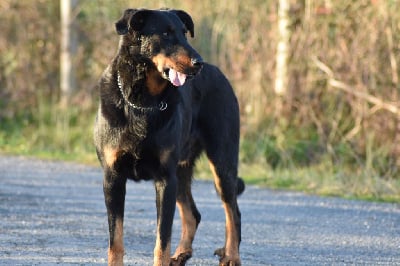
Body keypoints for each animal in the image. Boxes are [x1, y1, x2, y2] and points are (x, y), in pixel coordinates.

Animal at [94, 8, 244, 266]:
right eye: (165, 33)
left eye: (184, 33)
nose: (198, 63)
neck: (142, 103)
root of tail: (219, 73)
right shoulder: (113, 178)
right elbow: (116, 241)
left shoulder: (165, 180)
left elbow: (161, 241)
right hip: (181, 171)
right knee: (194, 214)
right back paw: (181, 254)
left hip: (221, 162)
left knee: (233, 212)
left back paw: (231, 256)